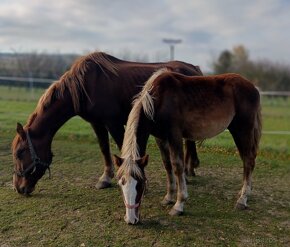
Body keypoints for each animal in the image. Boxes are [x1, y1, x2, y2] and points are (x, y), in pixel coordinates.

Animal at [11, 51, 202, 195]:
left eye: (20, 153)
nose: (18, 187)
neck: (84, 87)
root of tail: (193, 68)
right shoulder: (97, 123)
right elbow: (104, 149)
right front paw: (105, 179)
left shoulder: (113, 123)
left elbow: (123, 148)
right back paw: (189, 171)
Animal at [114, 68, 262, 224]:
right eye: (120, 184)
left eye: (141, 183)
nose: (131, 219)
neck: (158, 100)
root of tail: (253, 87)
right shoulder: (160, 138)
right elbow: (167, 165)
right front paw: (168, 197)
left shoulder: (175, 135)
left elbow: (178, 166)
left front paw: (179, 205)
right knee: (247, 161)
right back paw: (243, 192)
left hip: (242, 130)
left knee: (248, 161)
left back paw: (242, 199)